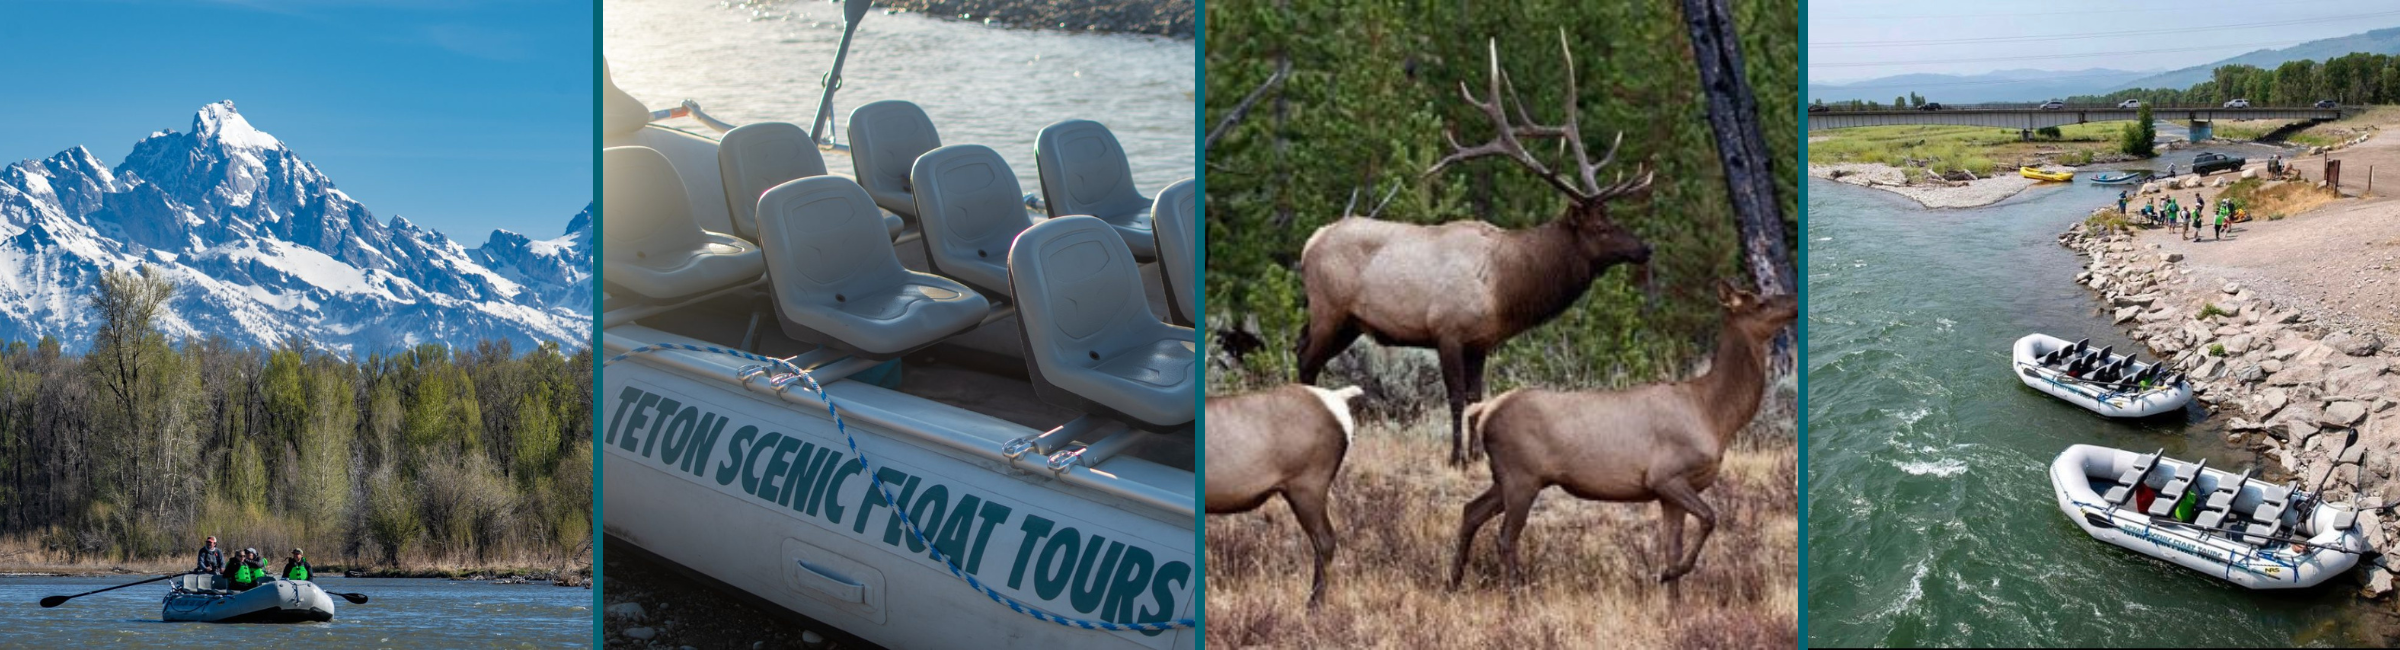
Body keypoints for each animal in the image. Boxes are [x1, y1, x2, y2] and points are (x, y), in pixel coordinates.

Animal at [1296, 33, 1651, 470]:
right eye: (1601, 228)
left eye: (1613, 218)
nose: (1645, 248)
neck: (1505, 287)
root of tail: (1311, 241)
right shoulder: (1446, 330)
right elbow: (1455, 398)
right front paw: (1455, 458)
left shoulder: (1481, 341)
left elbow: (1477, 397)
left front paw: (1479, 456)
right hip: (1329, 308)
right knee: (1307, 360)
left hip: (1348, 322)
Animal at [1440, 280, 1804, 590]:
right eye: (1759, 301)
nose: (1795, 301)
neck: (1715, 415)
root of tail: (1485, 411)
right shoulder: (1666, 476)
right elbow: (1710, 518)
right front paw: (1667, 575)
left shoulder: (1669, 492)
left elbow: (1672, 548)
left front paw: (1673, 602)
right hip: (1521, 476)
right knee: (1505, 536)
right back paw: (1514, 594)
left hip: (1507, 477)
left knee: (1471, 511)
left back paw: (1453, 582)